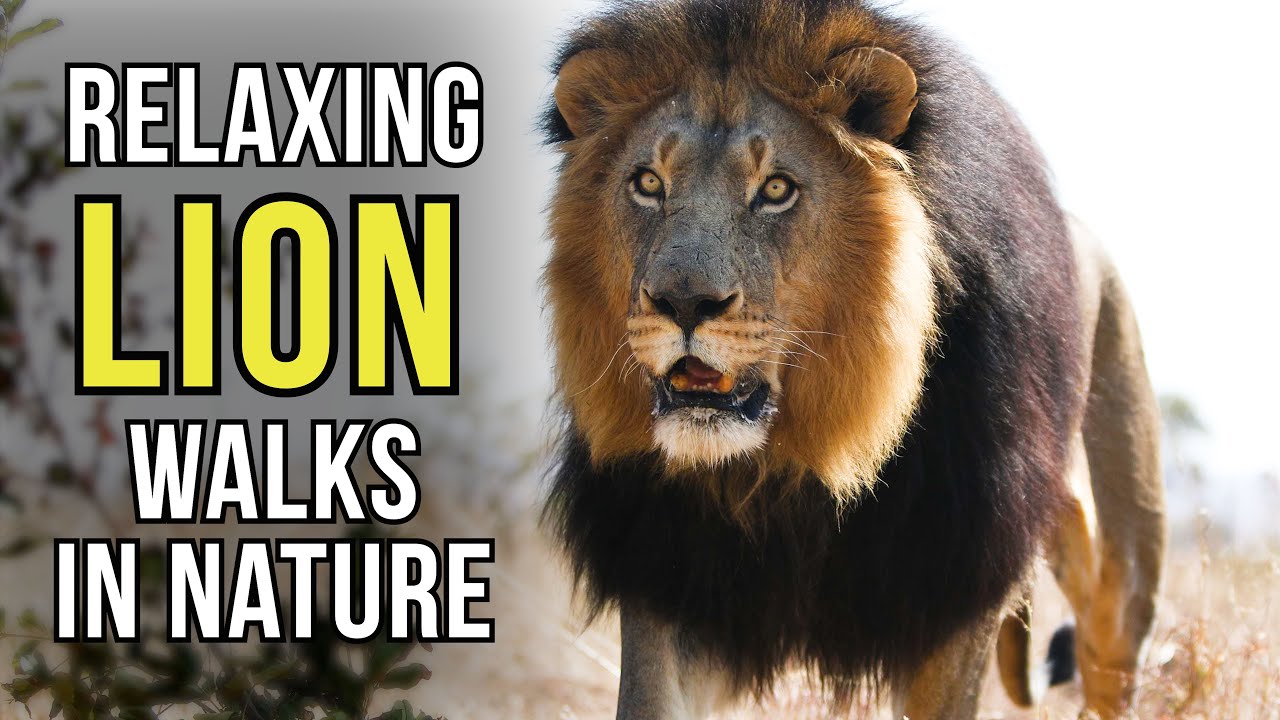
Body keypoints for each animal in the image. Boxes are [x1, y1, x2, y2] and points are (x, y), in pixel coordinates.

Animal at [540, 1, 1166, 718]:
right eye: (648, 183)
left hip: (1125, 567)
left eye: (777, 189)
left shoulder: (960, 588)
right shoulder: (669, 575)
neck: (797, 465)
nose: (684, 301)